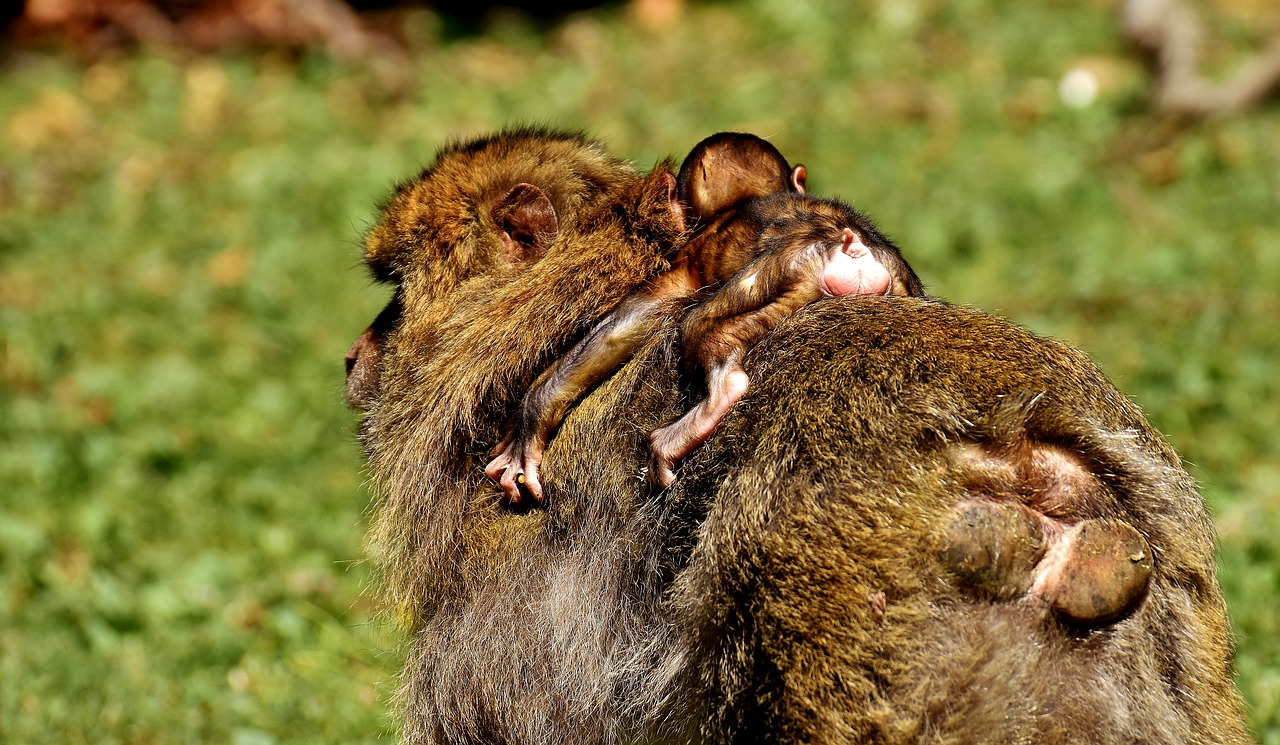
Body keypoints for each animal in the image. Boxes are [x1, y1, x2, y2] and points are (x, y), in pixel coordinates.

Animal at [486, 134, 921, 506]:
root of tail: (852, 247)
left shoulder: (686, 259)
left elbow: (626, 324)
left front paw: (528, 424)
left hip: (783, 273)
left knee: (698, 328)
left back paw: (698, 416)